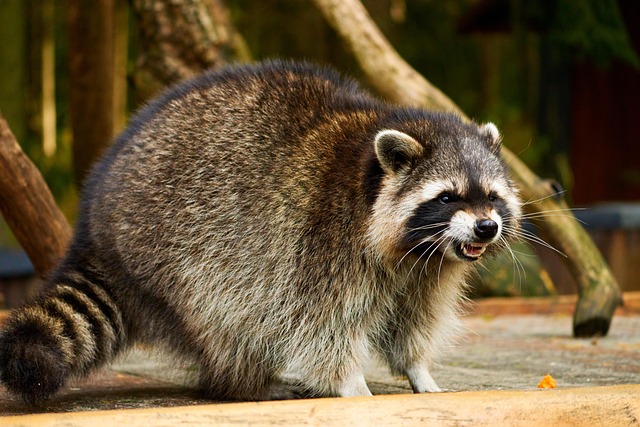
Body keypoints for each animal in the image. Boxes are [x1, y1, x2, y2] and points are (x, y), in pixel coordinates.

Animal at [0, 60, 521, 404]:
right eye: (448, 197)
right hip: (175, 244)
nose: (487, 227)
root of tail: (94, 224)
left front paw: (419, 371)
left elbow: (413, 322)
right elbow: (320, 326)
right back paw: (245, 384)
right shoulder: (324, 242)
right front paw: (350, 382)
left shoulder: (428, 271)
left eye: (492, 197)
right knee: (231, 314)